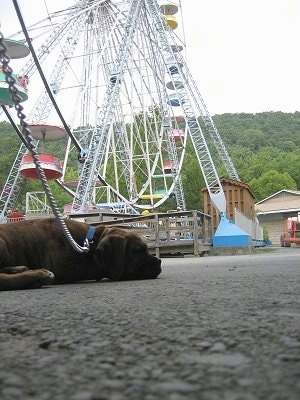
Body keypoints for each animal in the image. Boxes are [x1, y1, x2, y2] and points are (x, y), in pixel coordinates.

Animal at [0, 217, 162, 290]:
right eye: (139, 251)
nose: (159, 261)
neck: (91, 241)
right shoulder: (64, 267)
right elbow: (92, 268)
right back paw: (39, 276)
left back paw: (18, 268)